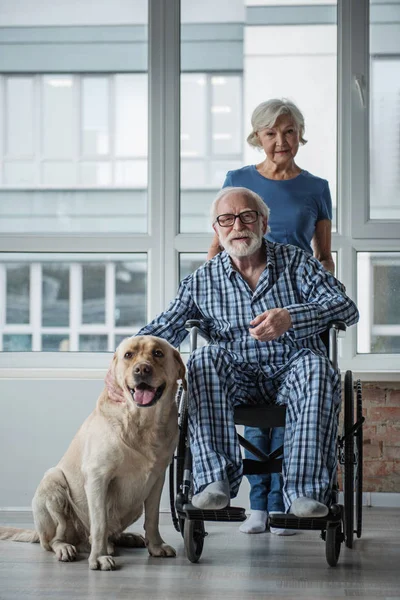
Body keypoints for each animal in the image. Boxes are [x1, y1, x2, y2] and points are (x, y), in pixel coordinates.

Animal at [0, 336, 186, 568]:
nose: (142, 369)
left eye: (158, 353)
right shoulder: (98, 476)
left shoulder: (157, 479)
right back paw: (69, 547)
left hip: (134, 506)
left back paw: (126, 538)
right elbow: (100, 523)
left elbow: (153, 518)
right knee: (57, 539)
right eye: (128, 355)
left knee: (111, 532)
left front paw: (156, 546)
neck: (143, 423)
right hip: (53, 484)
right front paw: (99, 557)